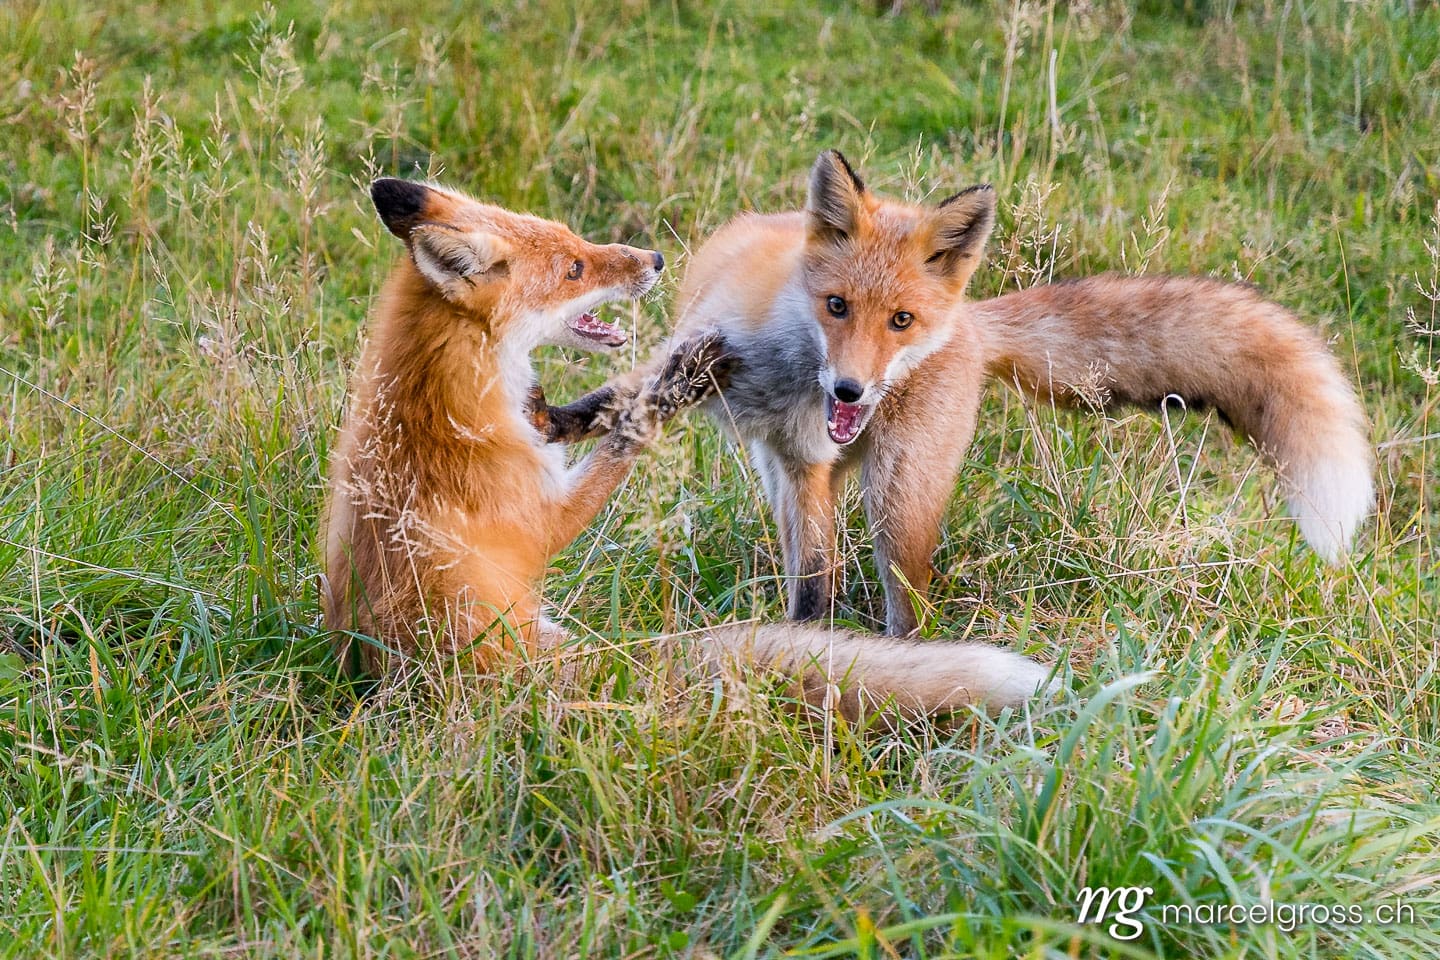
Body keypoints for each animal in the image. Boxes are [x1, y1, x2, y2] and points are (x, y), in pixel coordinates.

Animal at [322, 177, 1053, 717]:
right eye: (575, 268)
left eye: (572, 240)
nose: (654, 260)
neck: (432, 388)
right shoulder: (542, 521)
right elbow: (630, 430)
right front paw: (683, 378)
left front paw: (563, 407)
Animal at [542, 150, 1373, 637]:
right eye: (836, 306)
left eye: (900, 321)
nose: (851, 388)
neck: (784, 372)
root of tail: (970, 320)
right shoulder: (748, 405)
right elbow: (623, 397)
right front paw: (557, 418)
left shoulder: (810, 462)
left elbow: (813, 587)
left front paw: (804, 648)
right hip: (799, 480)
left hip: (897, 503)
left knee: (909, 604)